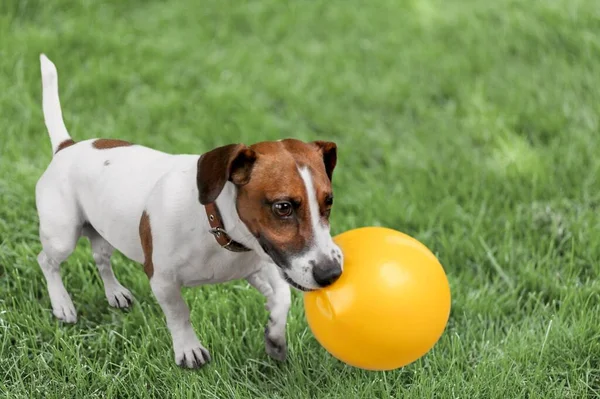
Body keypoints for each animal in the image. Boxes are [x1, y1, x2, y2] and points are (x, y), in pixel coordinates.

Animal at [36, 54, 342, 370]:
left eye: (328, 201)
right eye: (283, 207)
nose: (332, 274)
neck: (215, 225)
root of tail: (66, 148)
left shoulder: (259, 266)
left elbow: (282, 297)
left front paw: (275, 336)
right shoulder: (161, 279)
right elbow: (179, 313)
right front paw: (188, 349)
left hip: (104, 229)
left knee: (100, 258)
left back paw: (115, 293)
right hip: (62, 235)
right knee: (47, 261)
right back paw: (62, 304)